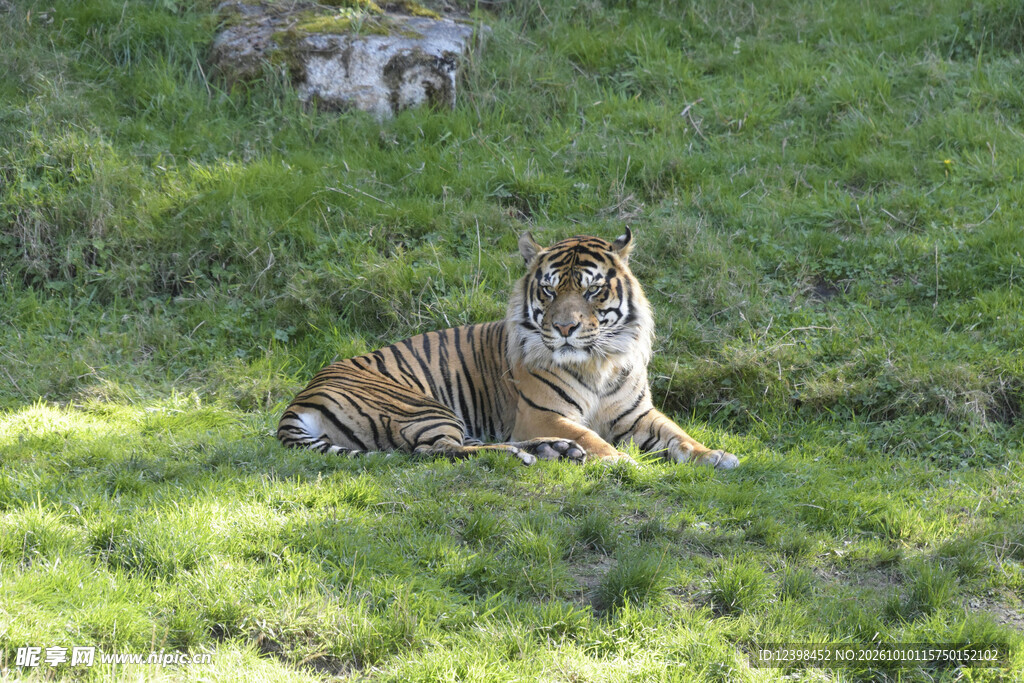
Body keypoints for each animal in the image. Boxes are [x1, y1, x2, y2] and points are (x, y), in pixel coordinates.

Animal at [277, 230, 739, 469]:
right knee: (437, 450)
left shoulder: (638, 414)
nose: (565, 328)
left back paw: (553, 451)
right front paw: (619, 461)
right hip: (421, 407)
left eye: (592, 290)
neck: (598, 363)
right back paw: (532, 454)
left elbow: (679, 436)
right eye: (549, 291)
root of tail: (300, 398)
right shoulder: (540, 413)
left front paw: (717, 455)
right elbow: (590, 436)